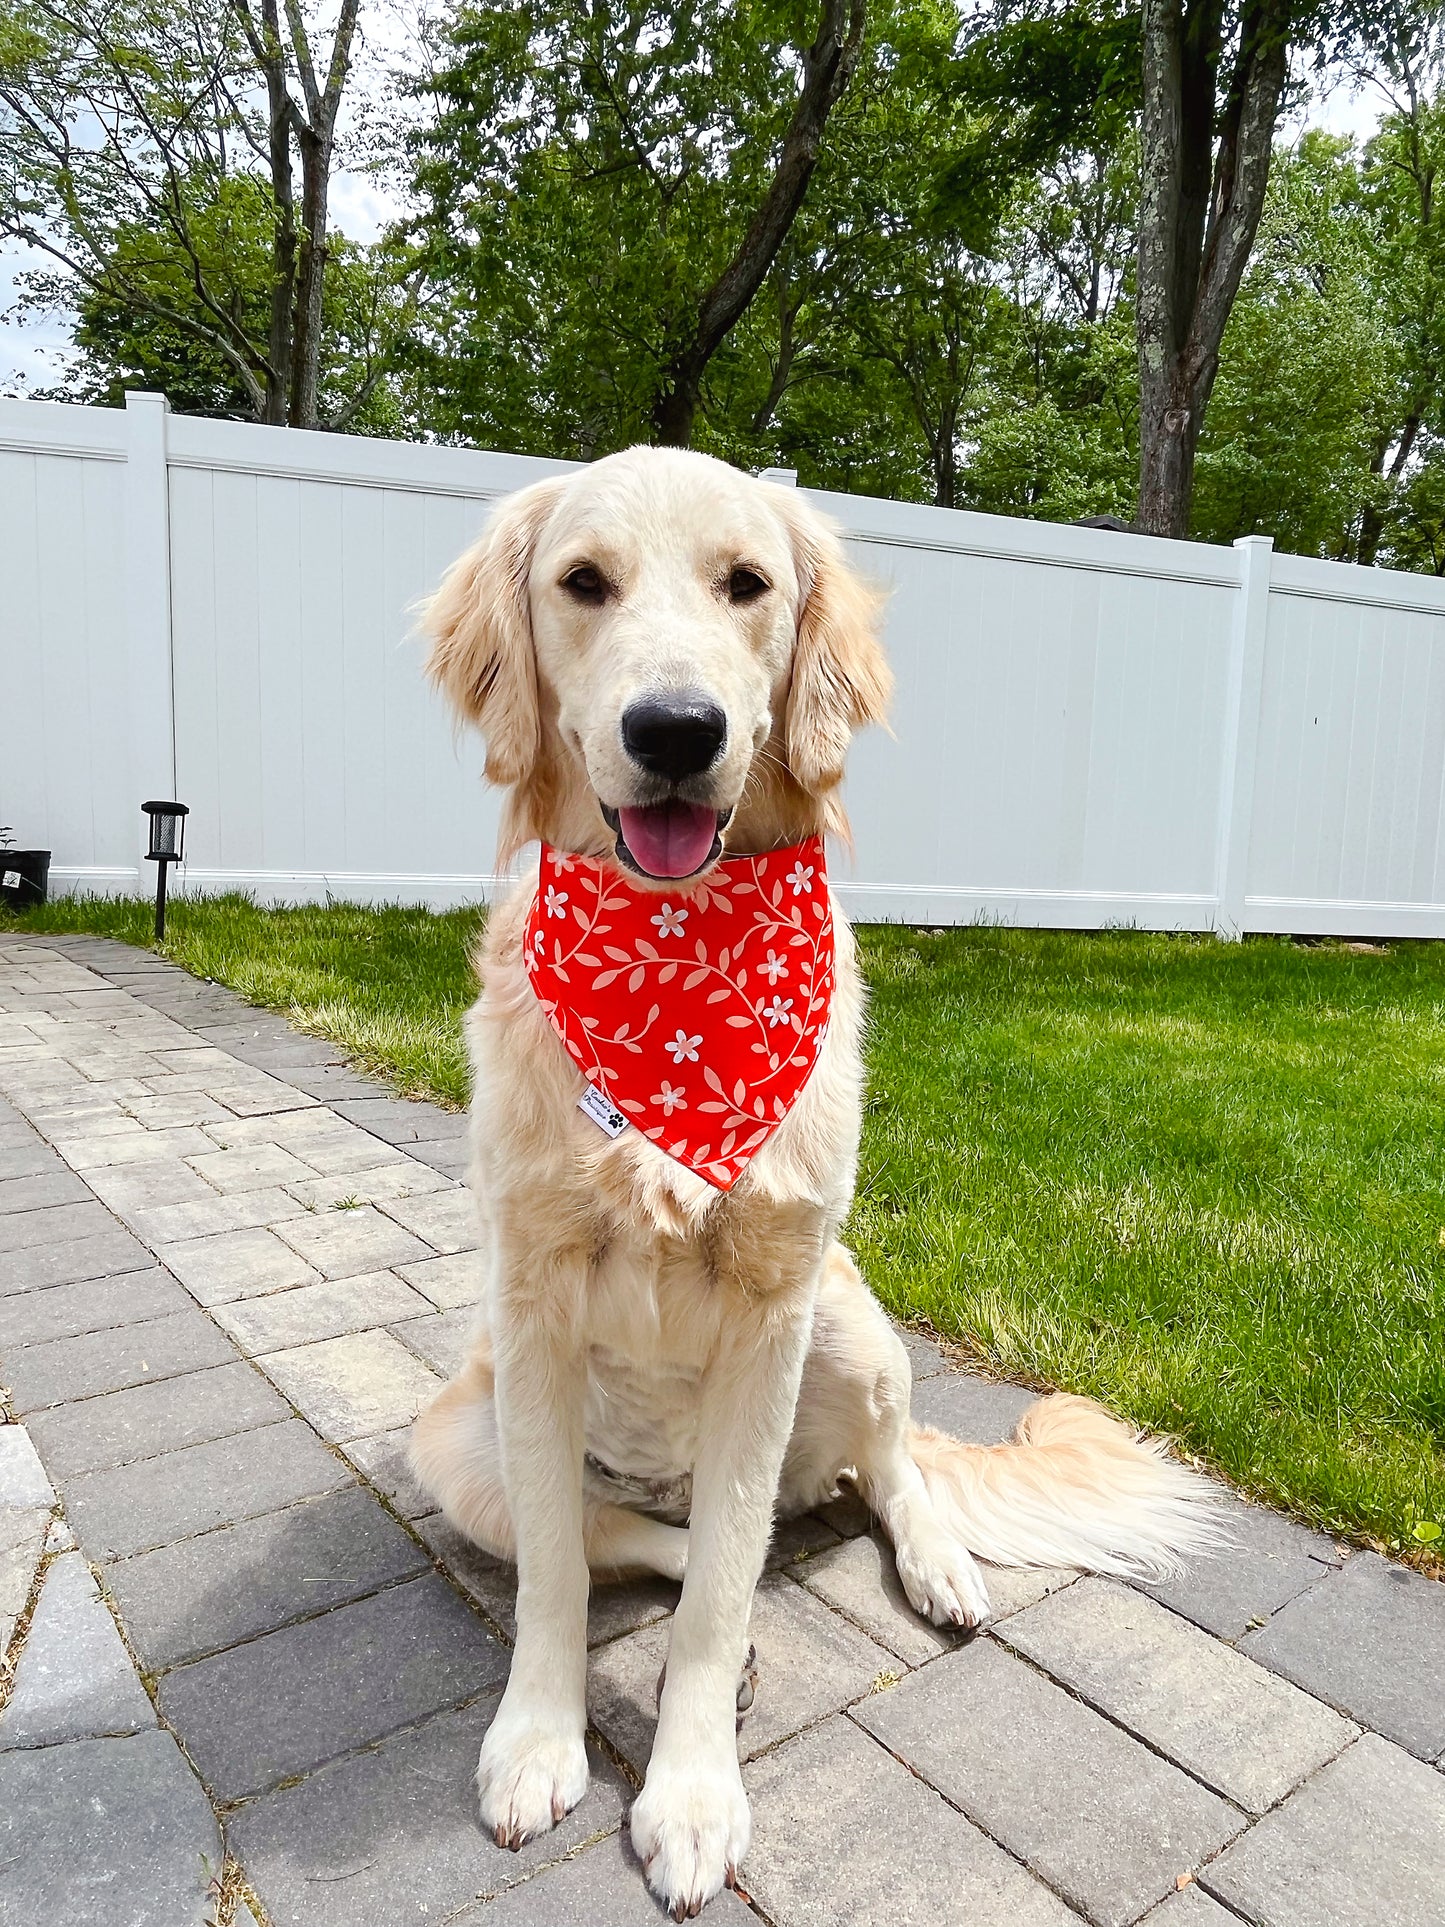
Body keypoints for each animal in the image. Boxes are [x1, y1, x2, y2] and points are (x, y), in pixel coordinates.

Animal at [416, 447, 1225, 1911]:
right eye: (582, 582)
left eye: (746, 583)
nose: (675, 729)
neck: (674, 972)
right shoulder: (534, 1302)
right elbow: (565, 1572)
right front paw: (536, 1740)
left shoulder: (773, 1303)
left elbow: (726, 1590)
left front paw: (689, 1796)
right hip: (457, 1436)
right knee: (647, 1539)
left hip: (848, 1323)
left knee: (880, 1471)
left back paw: (939, 1561)